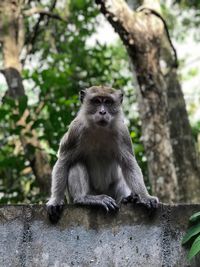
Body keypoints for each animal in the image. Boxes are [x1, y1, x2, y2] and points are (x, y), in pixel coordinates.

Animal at [46, 86, 159, 224]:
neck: (99, 129)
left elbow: (129, 164)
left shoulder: (123, 132)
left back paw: (129, 199)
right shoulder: (75, 130)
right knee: (75, 163)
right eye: (96, 101)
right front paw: (55, 200)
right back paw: (84, 198)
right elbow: (63, 161)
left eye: (108, 102)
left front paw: (145, 196)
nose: (102, 112)